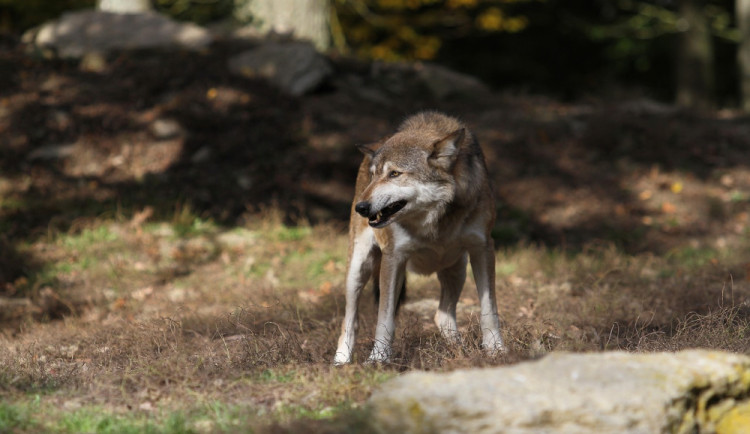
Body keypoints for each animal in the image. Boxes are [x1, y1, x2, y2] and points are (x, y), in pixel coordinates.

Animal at [334, 110, 506, 364]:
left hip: (457, 268)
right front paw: (378, 359)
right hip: (358, 268)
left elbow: (489, 311)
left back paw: (459, 352)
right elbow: (384, 320)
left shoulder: (483, 248)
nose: (361, 208)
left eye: (395, 174)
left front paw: (497, 351)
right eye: (374, 176)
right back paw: (341, 362)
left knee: (441, 316)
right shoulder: (394, 257)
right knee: (350, 320)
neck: (433, 221)